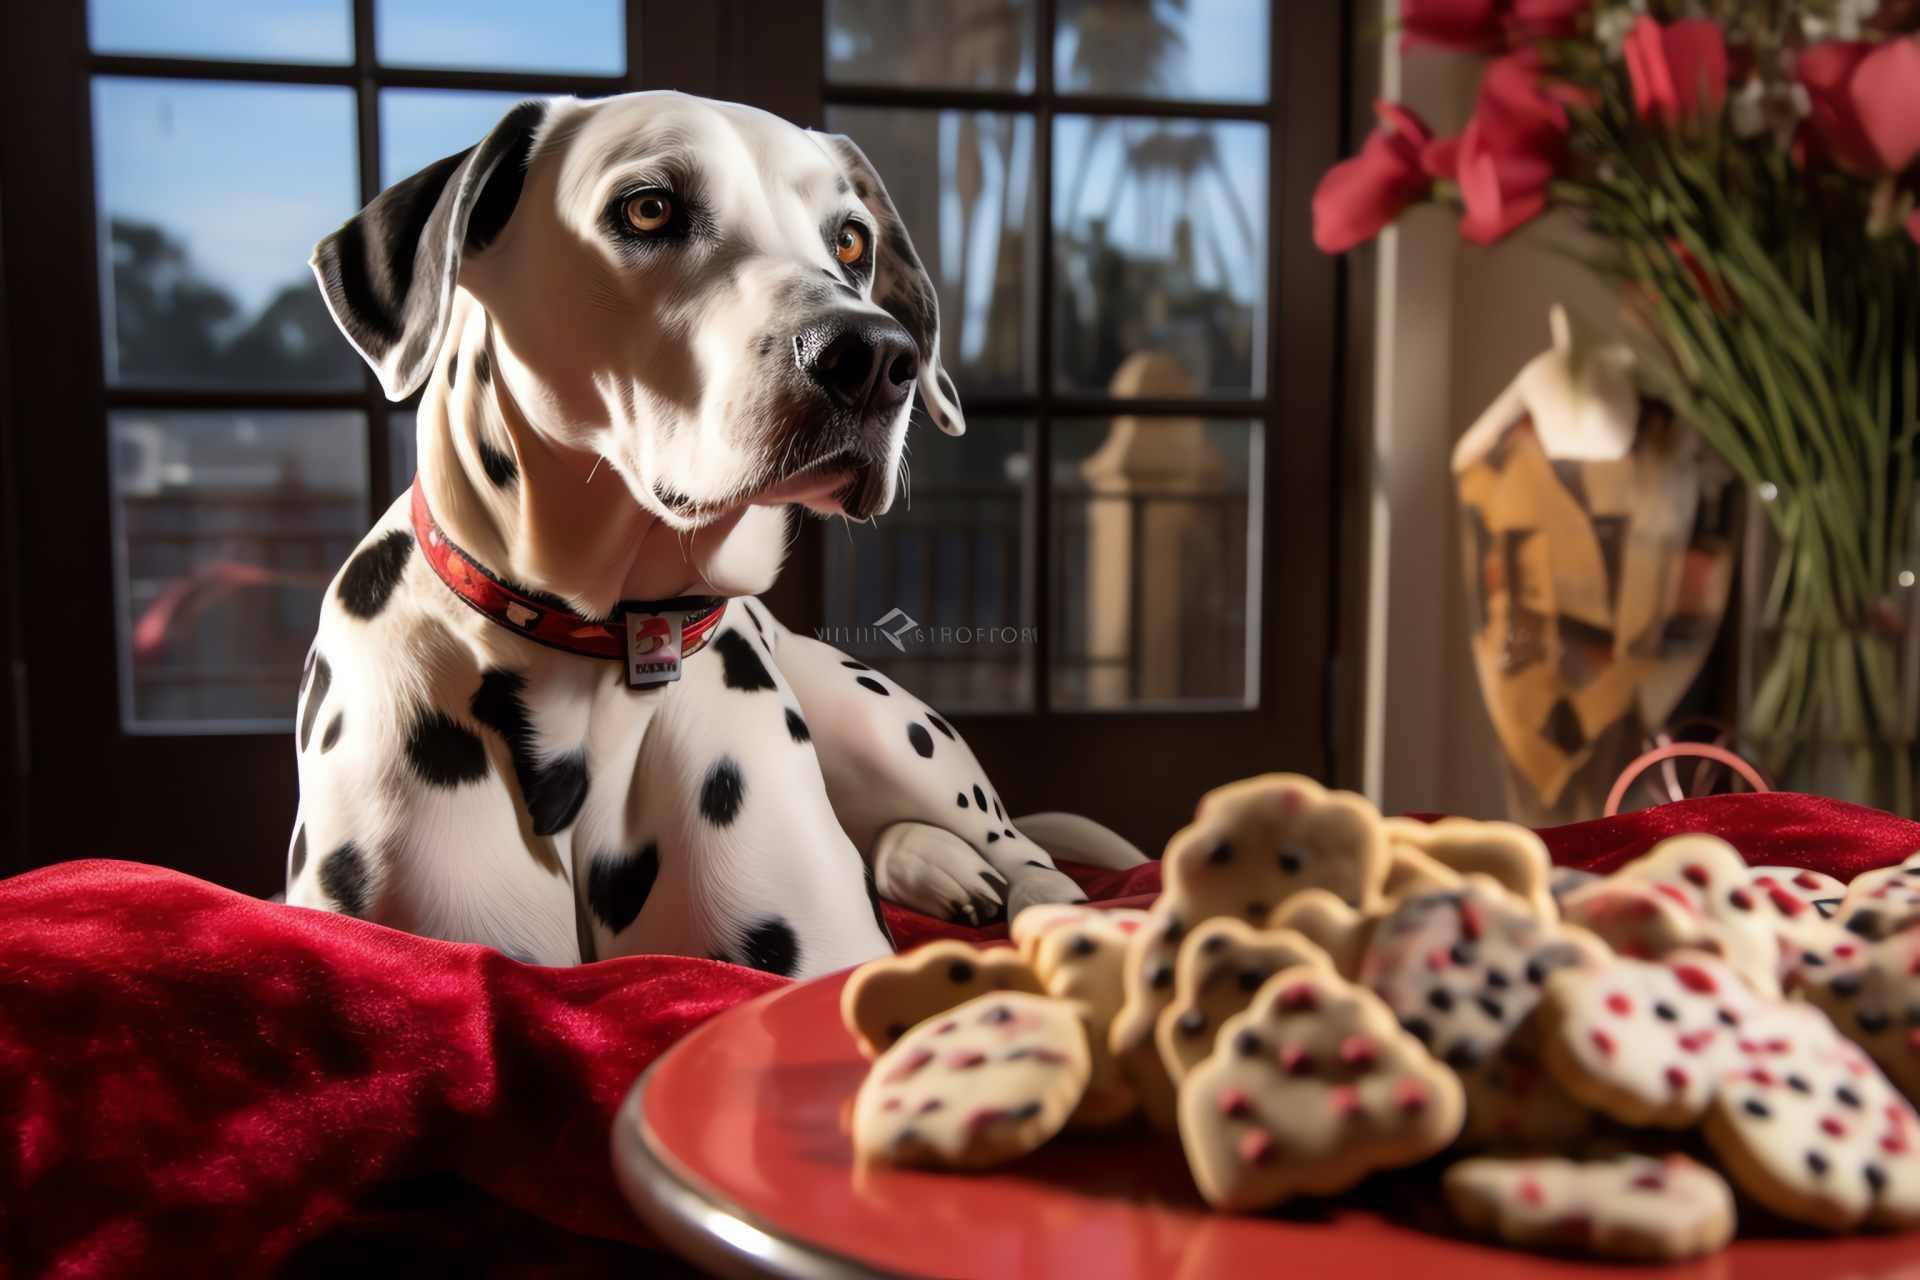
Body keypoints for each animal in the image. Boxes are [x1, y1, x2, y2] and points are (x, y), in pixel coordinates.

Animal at [288, 92, 1136, 982]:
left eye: (851, 239)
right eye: (649, 208)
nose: (874, 357)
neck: (596, 647)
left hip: (893, 733)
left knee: (1023, 848)